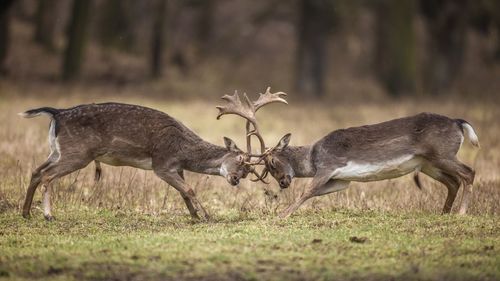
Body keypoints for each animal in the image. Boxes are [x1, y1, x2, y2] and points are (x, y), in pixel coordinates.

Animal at [19, 101, 264, 220]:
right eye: (240, 159)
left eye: (247, 172)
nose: (235, 179)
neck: (184, 151)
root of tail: (57, 113)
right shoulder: (162, 164)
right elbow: (190, 189)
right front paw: (206, 216)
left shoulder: (176, 167)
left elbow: (183, 192)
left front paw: (194, 216)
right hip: (78, 153)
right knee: (47, 175)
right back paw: (48, 215)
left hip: (57, 150)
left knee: (36, 171)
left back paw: (26, 213)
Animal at [254, 112, 480, 218]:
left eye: (272, 162)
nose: (283, 182)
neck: (312, 158)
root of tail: (458, 123)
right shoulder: (341, 180)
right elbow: (315, 193)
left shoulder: (328, 165)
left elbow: (306, 191)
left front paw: (281, 215)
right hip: (428, 164)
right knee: (453, 181)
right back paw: (444, 213)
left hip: (443, 154)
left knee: (468, 172)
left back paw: (460, 213)